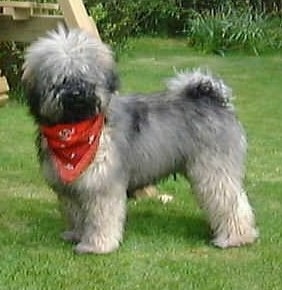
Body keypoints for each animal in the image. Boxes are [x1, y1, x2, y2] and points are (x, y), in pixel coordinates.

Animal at [22, 27, 258, 254]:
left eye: (85, 75)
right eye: (61, 78)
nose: (77, 94)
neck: (76, 131)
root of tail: (214, 99)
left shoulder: (102, 185)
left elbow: (101, 219)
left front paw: (96, 246)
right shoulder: (71, 190)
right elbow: (77, 215)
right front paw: (76, 235)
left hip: (213, 171)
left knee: (231, 203)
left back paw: (236, 238)